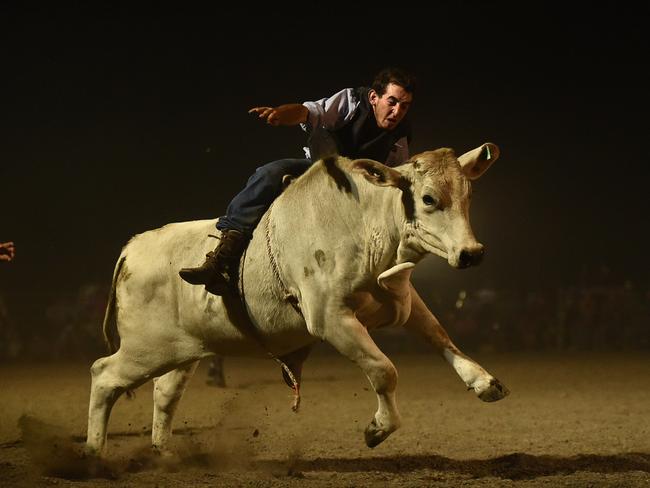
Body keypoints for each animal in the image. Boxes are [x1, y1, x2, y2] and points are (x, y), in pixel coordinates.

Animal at [85, 143, 506, 456]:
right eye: (429, 198)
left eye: (468, 194)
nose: (471, 253)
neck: (364, 225)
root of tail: (131, 249)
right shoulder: (331, 319)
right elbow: (383, 370)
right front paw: (377, 429)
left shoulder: (402, 302)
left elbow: (440, 336)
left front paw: (484, 383)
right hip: (145, 349)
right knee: (104, 375)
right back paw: (93, 455)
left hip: (180, 351)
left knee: (165, 392)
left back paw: (164, 455)